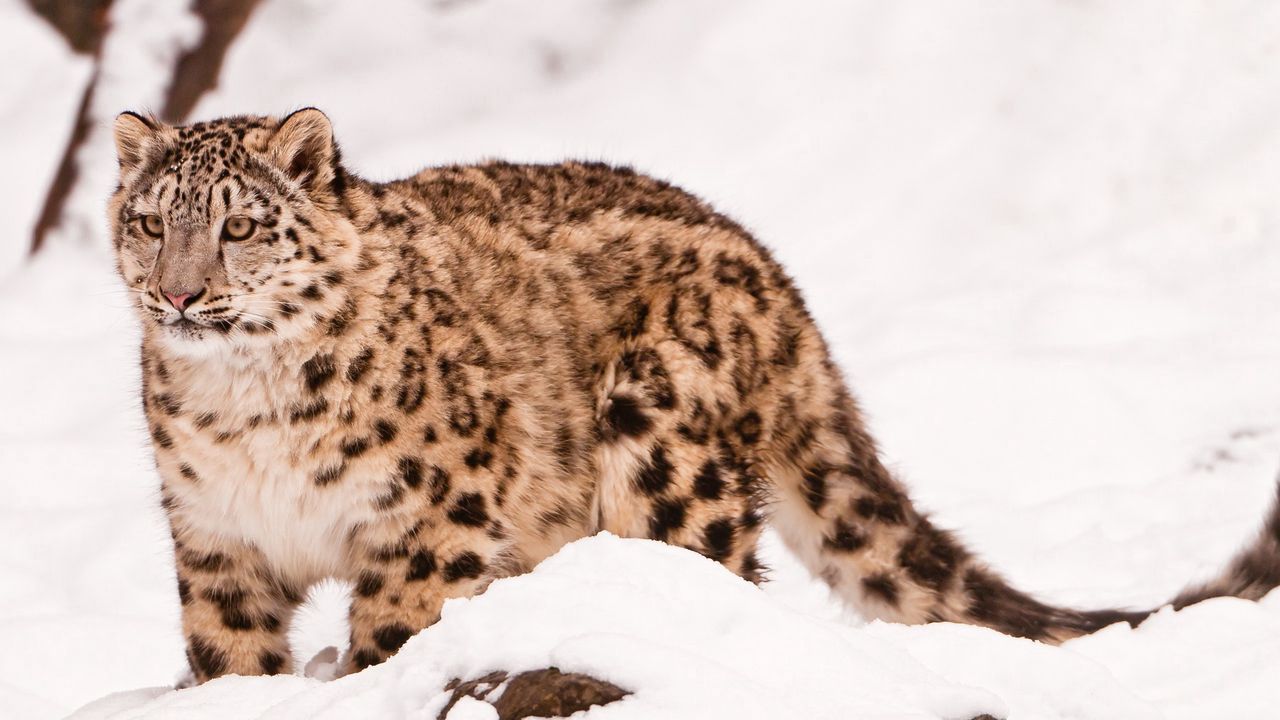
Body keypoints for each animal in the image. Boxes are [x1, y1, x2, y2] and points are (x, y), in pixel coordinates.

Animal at [110, 109, 1280, 681]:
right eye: (148, 219)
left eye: (239, 224)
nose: (180, 292)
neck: (247, 414)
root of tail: (776, 278)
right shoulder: (215, 542)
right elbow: (227, 658)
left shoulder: (428, 522)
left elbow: (396, 633)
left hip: (661, 448)